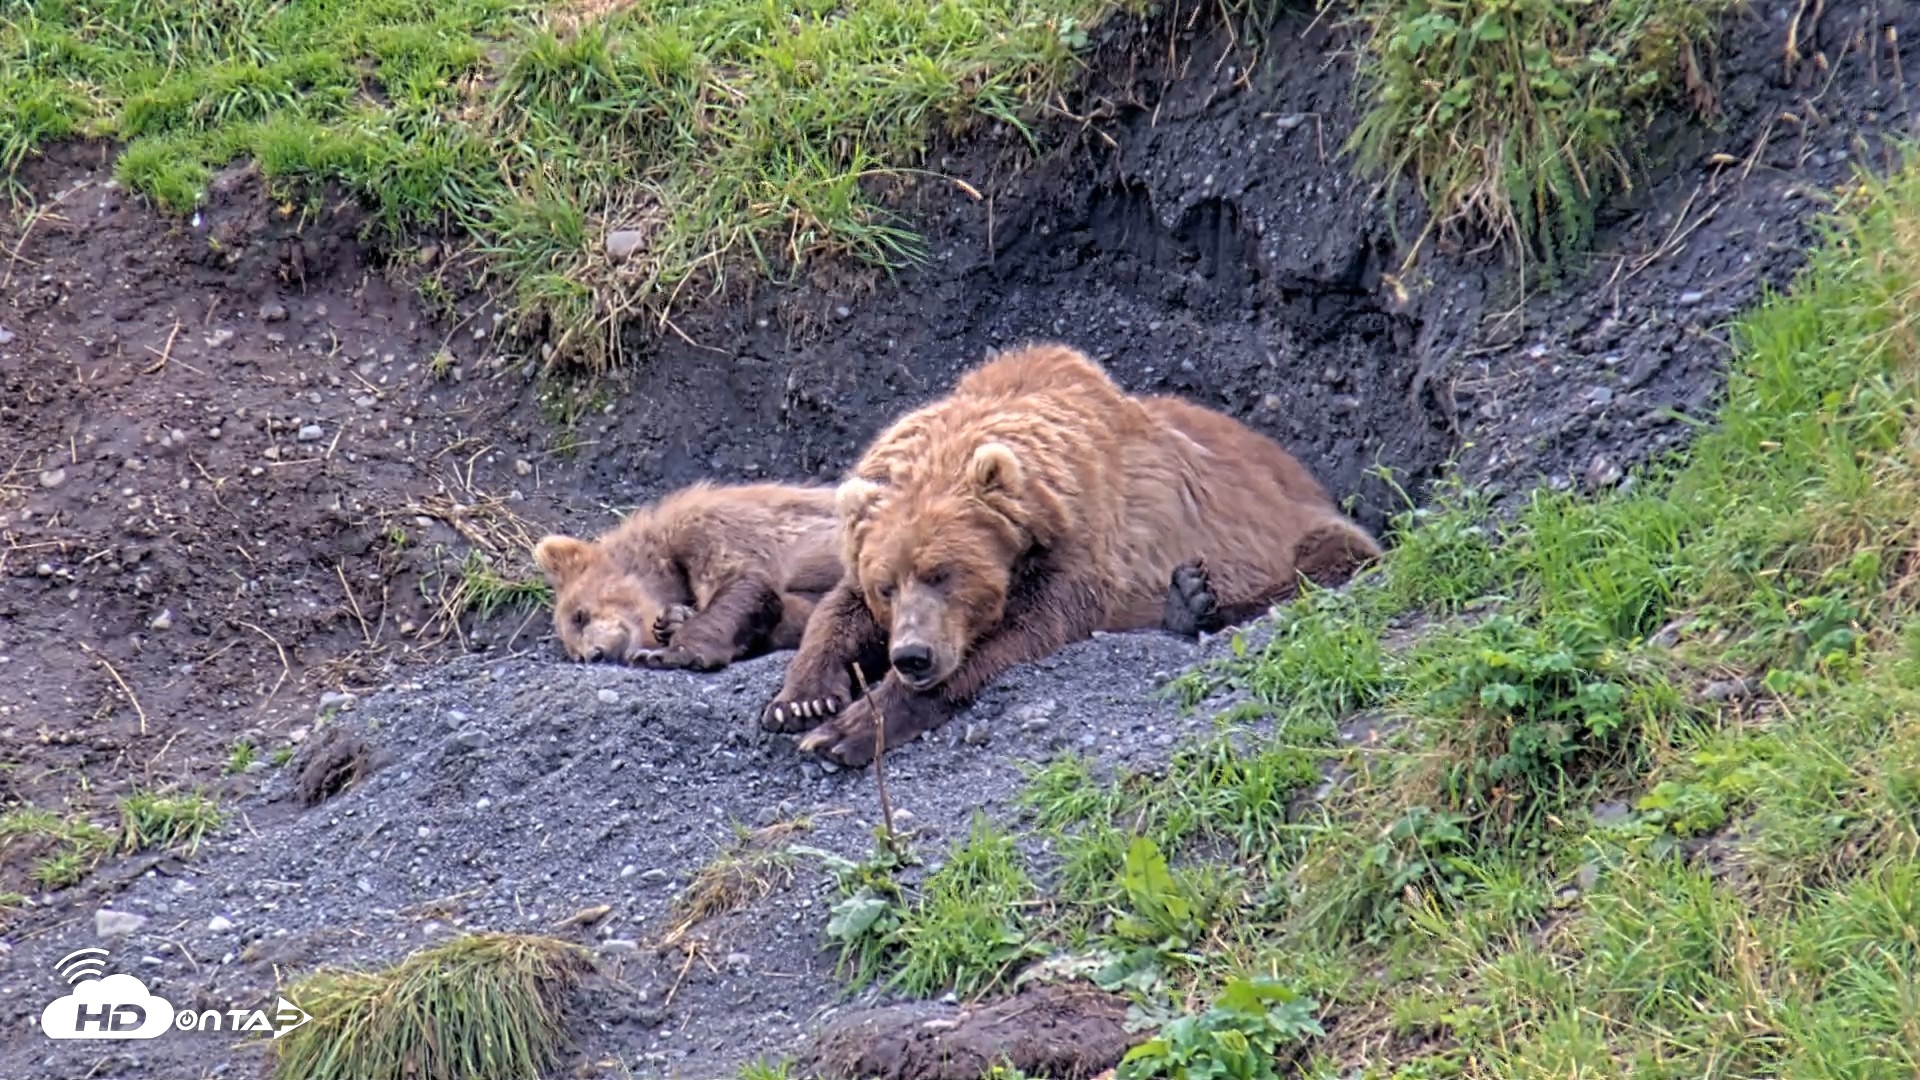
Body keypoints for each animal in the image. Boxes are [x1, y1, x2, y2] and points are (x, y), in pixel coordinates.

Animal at [532, 481, 845, 672]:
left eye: (579, 616)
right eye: (574, 653)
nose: (594, 654)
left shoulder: (716, 529)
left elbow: (745, 582)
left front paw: (668, 653)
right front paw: (673, 620)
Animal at [760, 341, 1381, 767]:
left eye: (944, 573)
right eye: (885, 586)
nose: (912, 656)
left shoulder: (1084, 540)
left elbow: (1023, 633)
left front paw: (847, 730)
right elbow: (836, 609)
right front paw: (802, 701)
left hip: (1294, 525)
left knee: (1331, 558)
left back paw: (1195, 602)